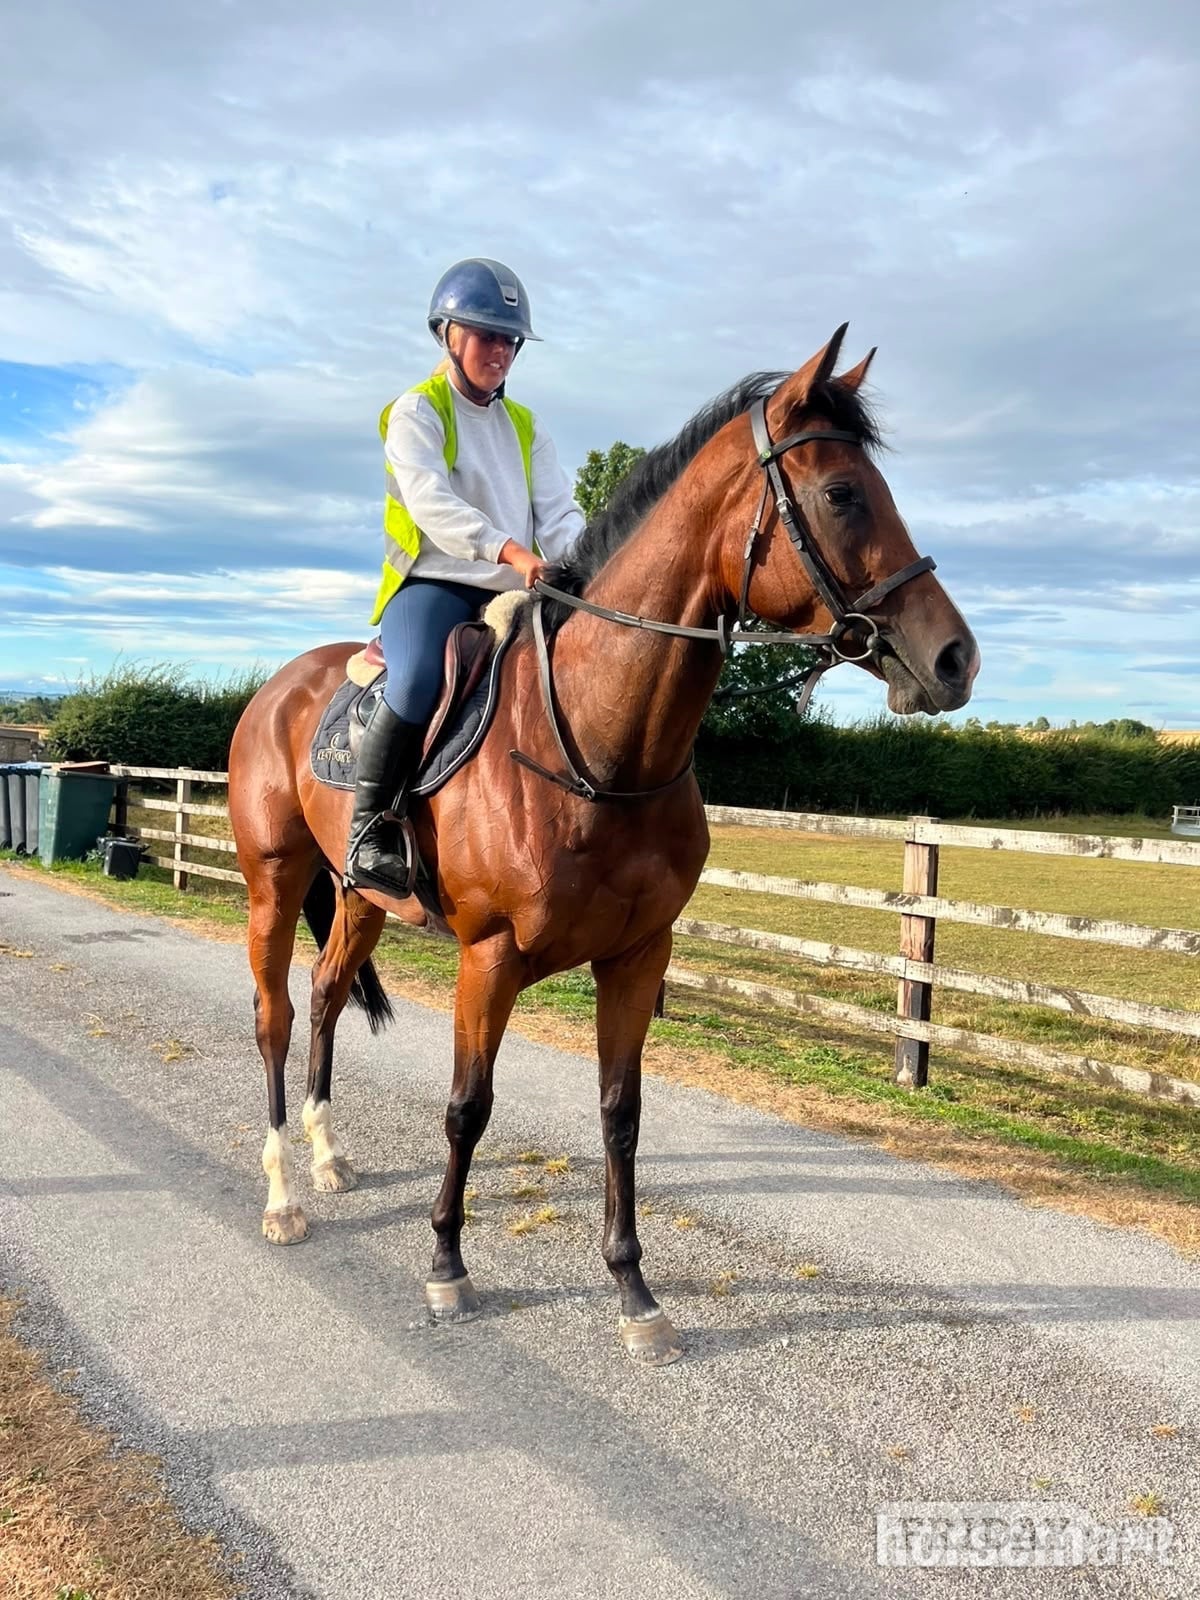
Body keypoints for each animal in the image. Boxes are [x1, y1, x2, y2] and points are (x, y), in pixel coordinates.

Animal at [227, 326, 979, 1365]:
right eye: (840, 493)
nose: (955, 658)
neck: (592, 739)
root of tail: (282, 686)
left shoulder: (636, 957)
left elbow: (621, 1116)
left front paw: (634, 1290)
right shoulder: (490, 959)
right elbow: (468, 1108)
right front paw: (447, 1265)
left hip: (357, 899)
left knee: (329, 996)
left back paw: (329, 1155)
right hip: (274, 881)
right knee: (276, 1016)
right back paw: (282, 1196)